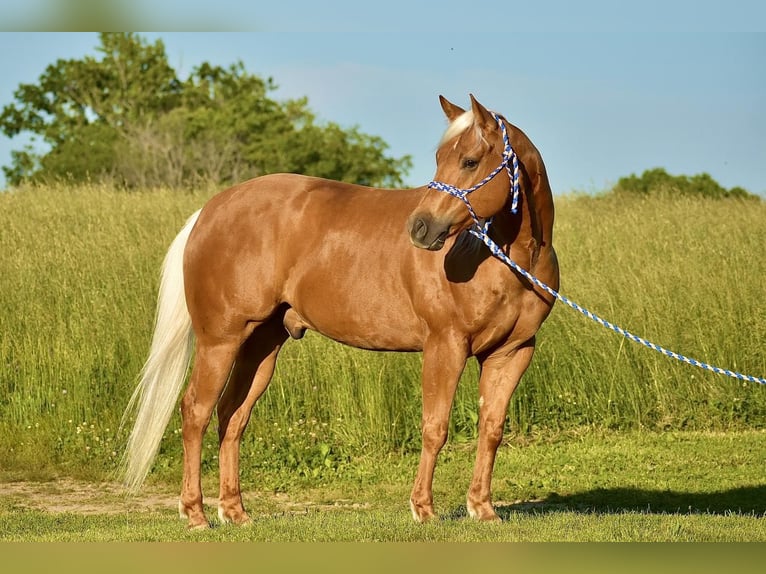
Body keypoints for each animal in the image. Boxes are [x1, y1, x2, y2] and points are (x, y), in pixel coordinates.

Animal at [123, 95, 560, 532]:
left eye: (469, 161)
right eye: (440, 157)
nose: (420, 228)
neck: (503, 259)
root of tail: (209, 211)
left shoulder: (512, 353)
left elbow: (492, 429)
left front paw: (483, 509)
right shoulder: (445, 346)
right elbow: (435, 428)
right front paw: (423, 508)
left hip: (261, 344)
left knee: (233, 414)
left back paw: (235, 511)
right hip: (221, 340)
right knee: (195, 411)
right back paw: (195, 514)